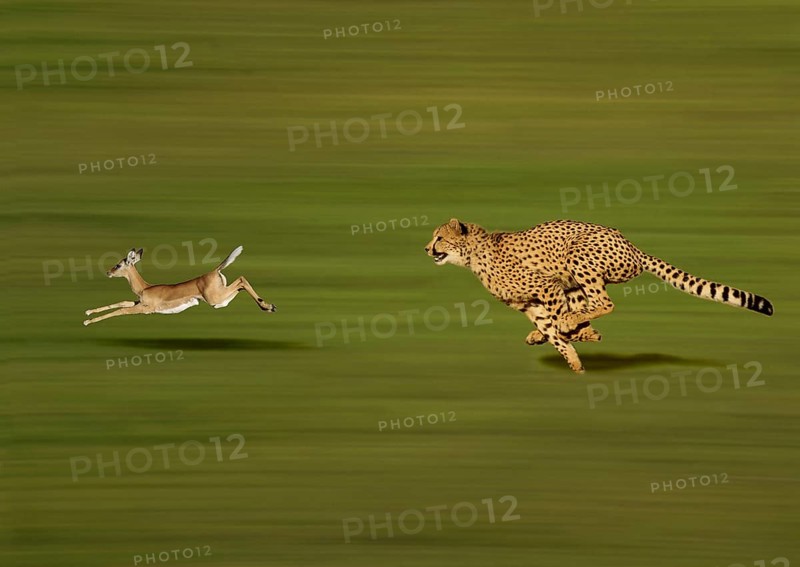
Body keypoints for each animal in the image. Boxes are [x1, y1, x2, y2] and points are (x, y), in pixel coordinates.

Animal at [83, 246, 276, 326]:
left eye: (118, 265)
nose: (108, 272)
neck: (144, 288)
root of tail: (214, 271)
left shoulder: (146, 308)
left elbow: (121, 310)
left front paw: (87, 321)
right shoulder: (138, 302)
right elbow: (121, 303)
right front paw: (88, 313)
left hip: (215, 299)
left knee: (242, 279)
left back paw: (269, 307)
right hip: (220, 300)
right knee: (241, 283)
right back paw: (268, 306)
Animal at [424, 218, 773, 373]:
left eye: (439, 237)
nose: (426, 248)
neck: (473, 254)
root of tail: (632, 245)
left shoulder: (547, 287)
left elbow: (555, 324)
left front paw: (574, 348)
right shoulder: (530, 303)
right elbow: (548, 327)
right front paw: (574, 352)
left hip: (577, 254)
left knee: (604, 303)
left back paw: (577, 327)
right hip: (575, 280)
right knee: (588, 305)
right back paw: (577, 330)